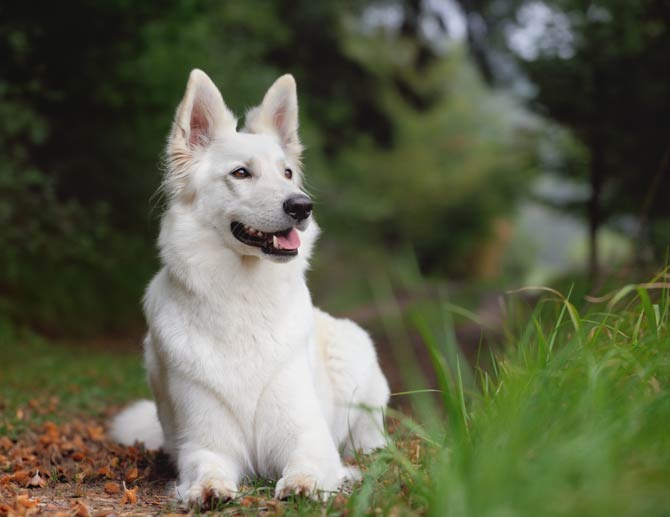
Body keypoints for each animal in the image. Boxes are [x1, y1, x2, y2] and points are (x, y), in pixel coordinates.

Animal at [110, 70, 392, 506]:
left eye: (287, 173)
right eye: (241, 173)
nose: (302, 206)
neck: (242, 296)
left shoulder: (308, 436)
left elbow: (308, 463)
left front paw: (304, 484)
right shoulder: (205, 443)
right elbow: (206, 466)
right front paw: (209, 489)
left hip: (355, 354)